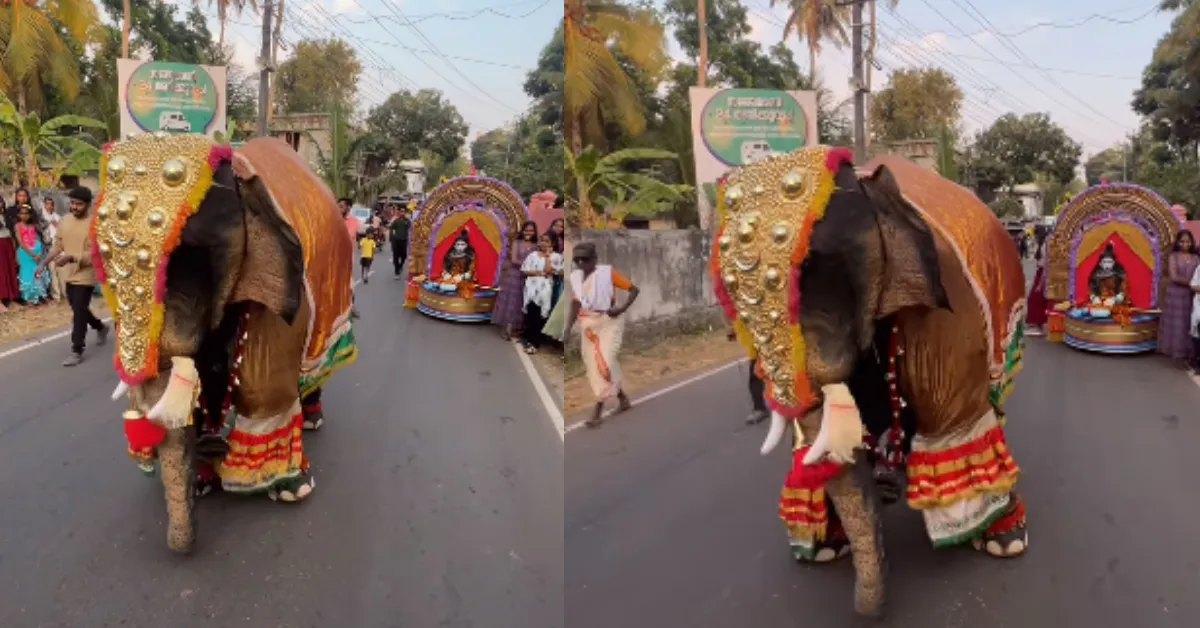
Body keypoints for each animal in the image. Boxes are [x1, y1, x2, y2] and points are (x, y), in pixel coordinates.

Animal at [94, 133, 355, 554]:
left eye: (192, 260)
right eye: (104, 273)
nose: (179, 548)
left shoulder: (282, 292)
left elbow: (263, 392)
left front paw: (289, 489)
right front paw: (203, 480)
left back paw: (312, 420)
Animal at [710, 145, 1032, 614]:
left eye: (813, 268)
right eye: (726, 292)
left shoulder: (948, 310)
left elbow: (952, 424)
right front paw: (826, 549)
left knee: (984, 411)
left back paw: (1002, 534)